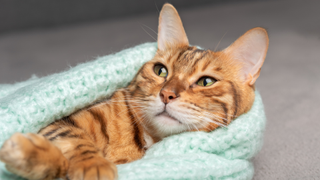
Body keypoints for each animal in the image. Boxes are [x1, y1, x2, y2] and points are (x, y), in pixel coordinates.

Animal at [0, 2, 268, 180]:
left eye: (205, 82)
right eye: (161, 70)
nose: (167, 95)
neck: (148, 140)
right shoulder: (61, 122)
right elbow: (74, 140)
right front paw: (92, 165)